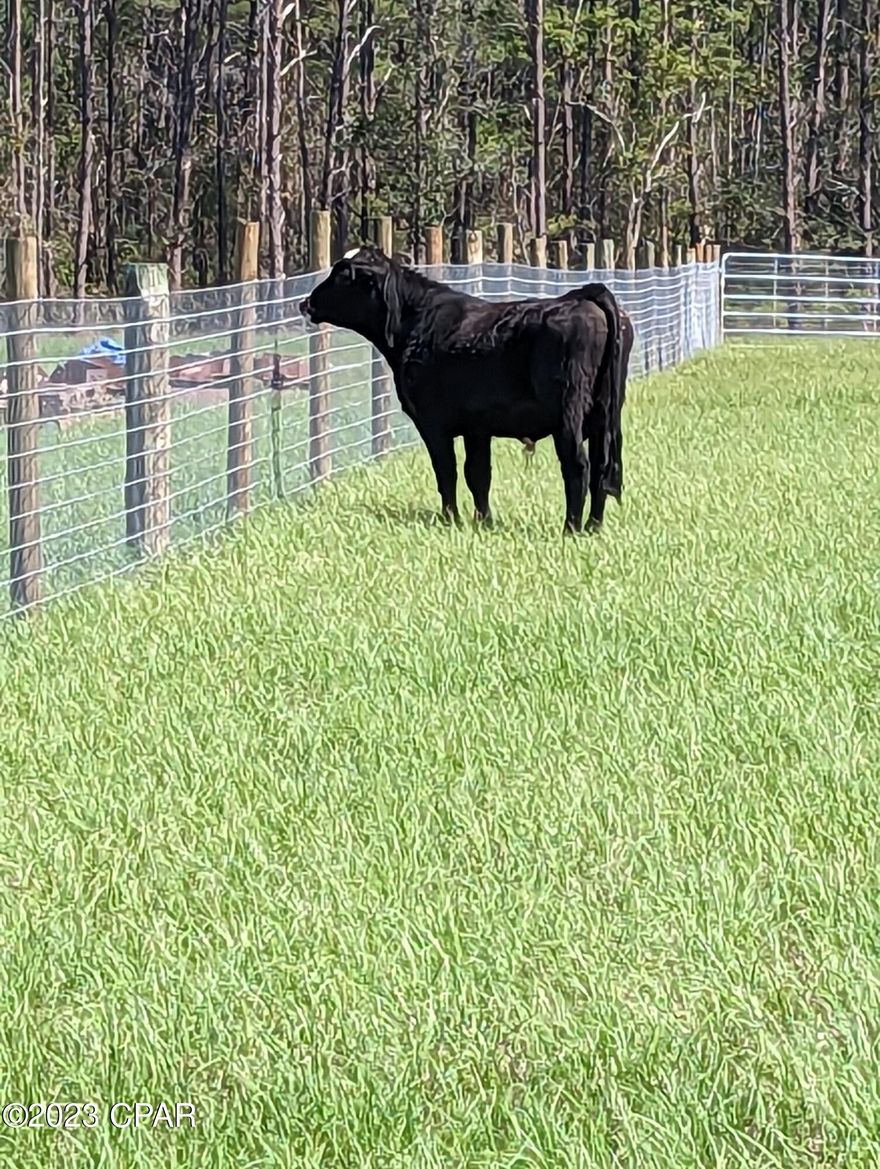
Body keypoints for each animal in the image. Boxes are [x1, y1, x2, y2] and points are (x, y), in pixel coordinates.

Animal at [299, 247, 633, 535]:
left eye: (343, 274)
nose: (306, 302)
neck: (416, 322)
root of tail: (584, 296)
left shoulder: (433, 423)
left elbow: (447, 471)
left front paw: (451, 519)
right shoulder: (477, 427)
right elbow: (478, 475)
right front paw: (483, 521)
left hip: (568, 413)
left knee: (578, 466)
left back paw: (571, 529)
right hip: (605, 416)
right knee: (601, 468)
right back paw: (593, 527)